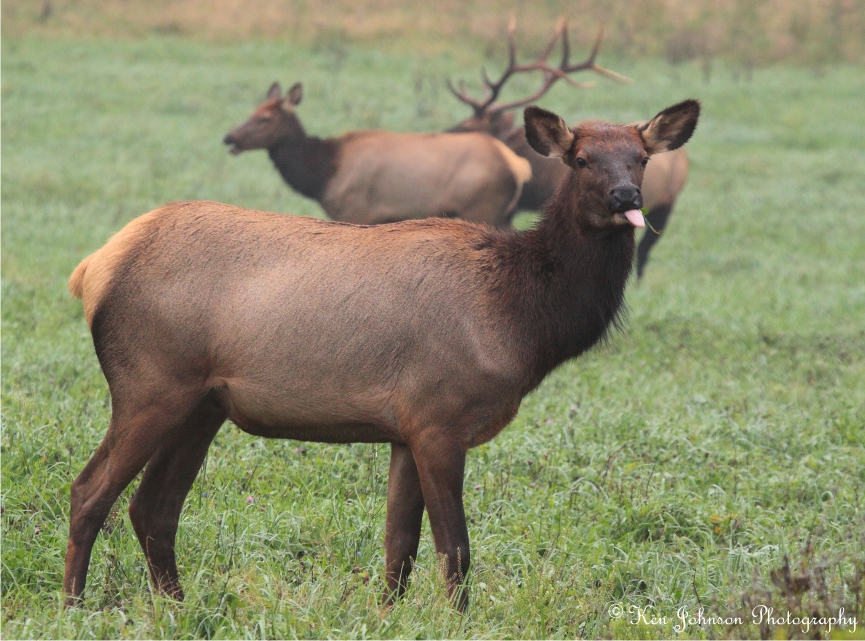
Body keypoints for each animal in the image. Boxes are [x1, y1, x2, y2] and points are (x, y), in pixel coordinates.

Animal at [64, 99, 700, 610]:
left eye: (641, 158)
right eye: (582, 158)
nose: (626, 196)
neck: (520, 321)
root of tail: (93, 268)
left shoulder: (404, 427)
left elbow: (400, 546)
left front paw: (388, 612)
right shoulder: (441, 417)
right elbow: (455, 549)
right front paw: (456, 618)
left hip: (202, 404)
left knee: (153, 508)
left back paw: (177, 603)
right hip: (150, 385)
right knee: (89, 491)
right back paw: (74, 606)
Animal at [223, 82, 531, 228]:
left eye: (264, 119)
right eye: (252, 112)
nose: (229, 137)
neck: (323, 174)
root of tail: (518, 165)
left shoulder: (355, 210)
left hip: (482, 208)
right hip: (502, 214)